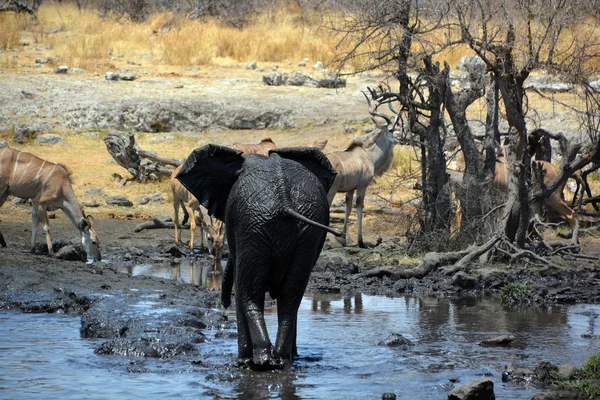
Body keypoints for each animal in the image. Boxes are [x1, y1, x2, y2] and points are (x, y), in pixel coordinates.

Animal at [176, 143, 340, 368]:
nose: (223, 305)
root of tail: (284, 200)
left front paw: (244, 359)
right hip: (304, 231)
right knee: (290, 298)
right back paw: (282, 360)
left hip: (253, 224)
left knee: (249, 294)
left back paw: (258, 361)